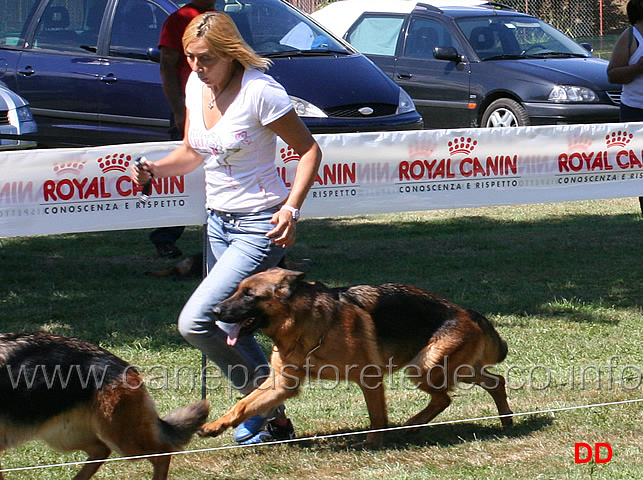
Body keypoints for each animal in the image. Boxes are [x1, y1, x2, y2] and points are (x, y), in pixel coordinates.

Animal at [201, 270, 512, 446]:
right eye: (237, 290)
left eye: (249, 295)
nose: (214, 311)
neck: (306, 324)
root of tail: (466, 311)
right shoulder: (281, 385)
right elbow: (242, 405)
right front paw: (215, 425)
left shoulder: (369, 379)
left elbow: (377, 416)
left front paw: (373, 442)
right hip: (447, 368)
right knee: (492, 381)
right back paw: (504, 420)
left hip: (424, 368)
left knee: (447, 396)